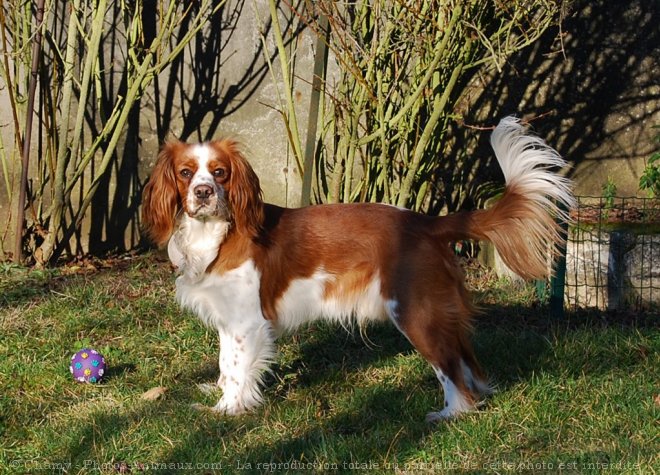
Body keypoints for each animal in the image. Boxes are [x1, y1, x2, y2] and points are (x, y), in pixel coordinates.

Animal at [141, 117, 572, 422]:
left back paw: (451, 413)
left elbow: (236, 368)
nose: (203, 193)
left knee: (450, 368)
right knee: (467, 360)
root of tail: (426, 223)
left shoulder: (247, 321)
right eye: (185, 172)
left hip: (415, 312)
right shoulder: (229, 317)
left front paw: (228, 410)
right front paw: (225, 397)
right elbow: (225, 364)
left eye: (220, 172)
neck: (216, 232)